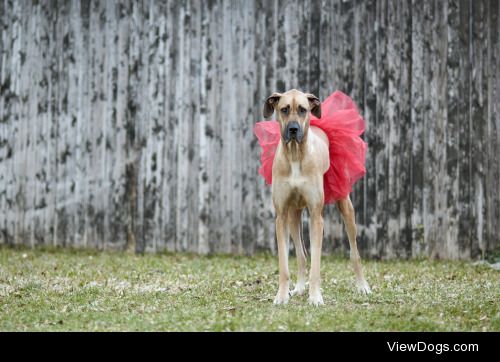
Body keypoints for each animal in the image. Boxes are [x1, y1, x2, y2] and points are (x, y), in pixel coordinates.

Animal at [264, 88, 370, 306]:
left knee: (355, 252)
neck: (295, 154)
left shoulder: (316, 216)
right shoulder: (281, 217)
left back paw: (362, 285)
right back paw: (298, 288)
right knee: (302, 254)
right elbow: (284, 265)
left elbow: (316, 264)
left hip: (346, 207)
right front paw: (282, 295)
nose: (293, 129)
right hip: (293, 216)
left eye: (303, 109)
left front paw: (315, 297)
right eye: (284, 109)